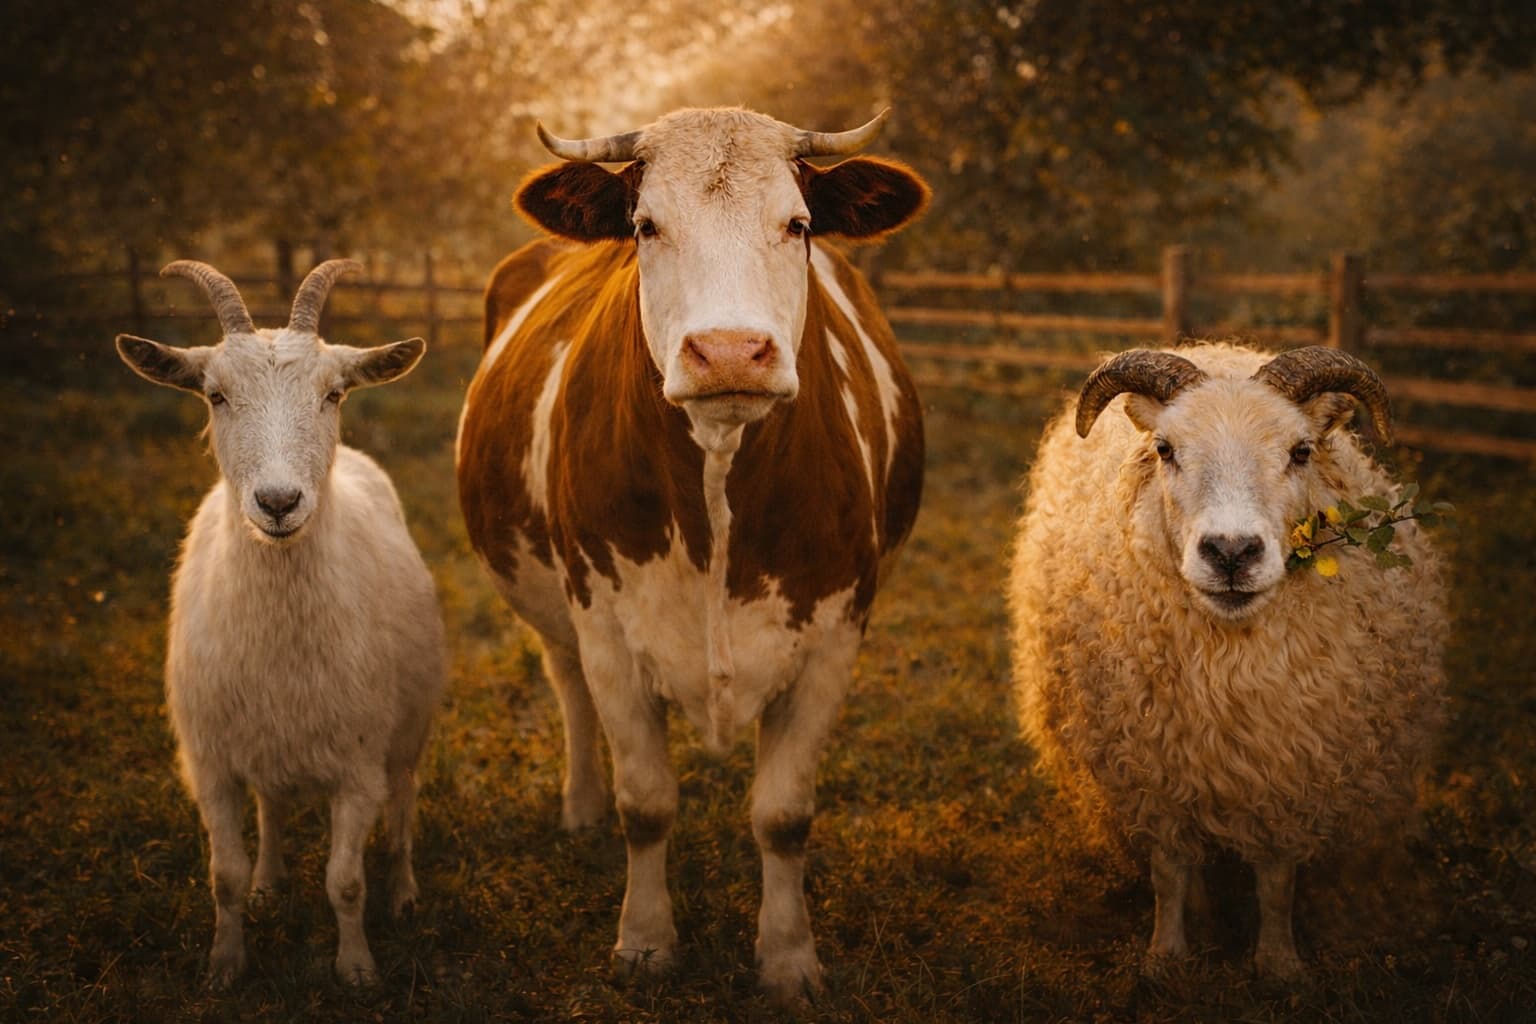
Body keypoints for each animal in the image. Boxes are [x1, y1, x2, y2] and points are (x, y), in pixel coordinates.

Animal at [116, 259, 445, 988]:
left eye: (335, 394)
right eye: (214, 395)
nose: (278, 501)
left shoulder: (357, 768)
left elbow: (345, 882)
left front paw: (356, 968)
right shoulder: (210, 764)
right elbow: (225, 876)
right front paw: (225, 964)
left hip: (407, 729)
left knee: (404, 800)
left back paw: (407, 892)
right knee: (270, 806)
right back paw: (271, 880)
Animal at [1009, 342, 1446, 978]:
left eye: (1301, 451)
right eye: (1165, 450)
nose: (1232, 552)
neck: (1228, 664)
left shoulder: (1291, 769)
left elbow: (1277, 880)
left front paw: (1279, 963)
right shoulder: (1152, 768)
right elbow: (1169, 871)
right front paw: (1166, 958)